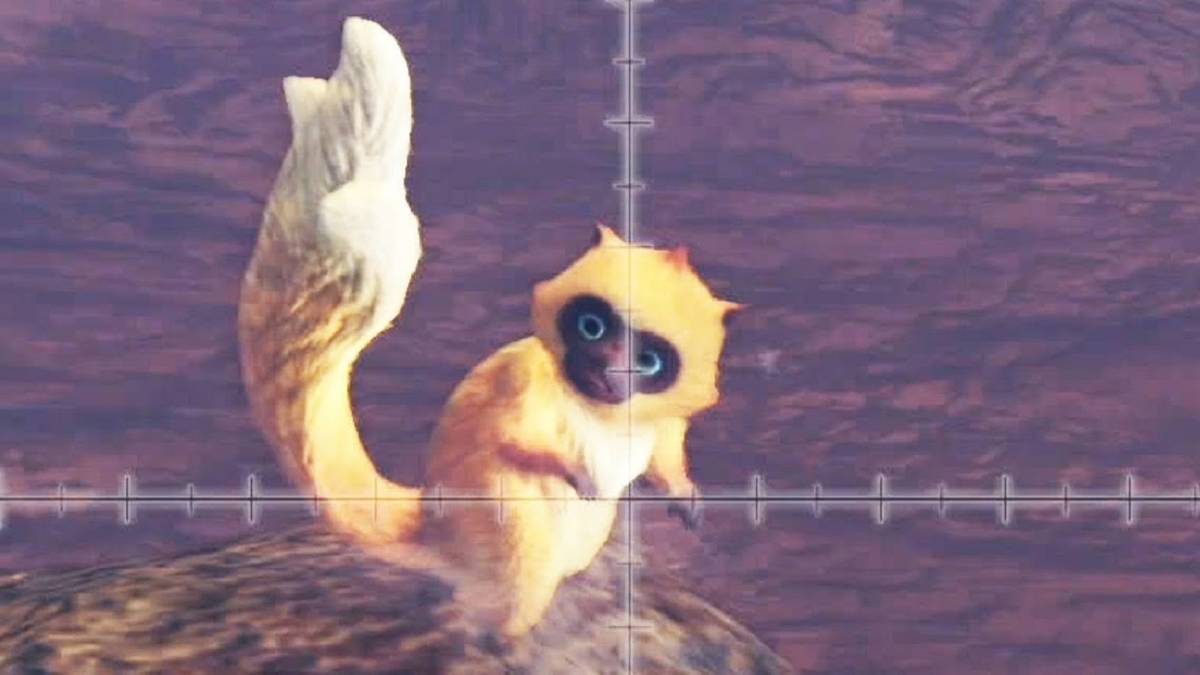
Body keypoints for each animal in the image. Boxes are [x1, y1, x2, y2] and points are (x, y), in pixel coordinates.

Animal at [237, 17, 740, 638]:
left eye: (647, 360)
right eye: (591, 327)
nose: (607, 369)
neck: (599, 412)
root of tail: (433, 530)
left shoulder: (659, 423)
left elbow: (667, 456)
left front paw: (684, 495)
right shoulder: (520, 389)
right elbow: (516, 445)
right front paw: (575, 475)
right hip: (516, 539)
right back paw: (507, 633)